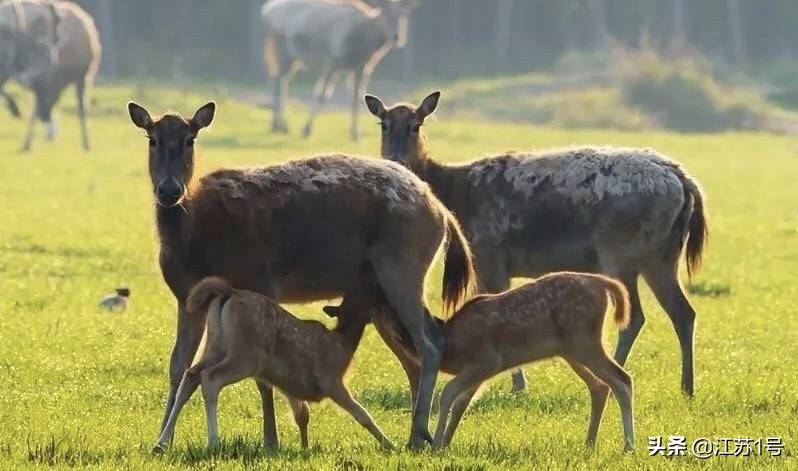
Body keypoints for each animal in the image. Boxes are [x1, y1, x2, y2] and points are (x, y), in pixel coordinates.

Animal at [155, 278, 394, 452]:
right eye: (367, 293)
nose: (382, 291)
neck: (343, 344)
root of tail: (228, 293)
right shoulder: (330, 380)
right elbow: (361, 414)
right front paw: (390, 445)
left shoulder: (290, 384)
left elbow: (303, 415)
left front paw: (305, 448)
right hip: (246, 356)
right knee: (210, 378)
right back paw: (213, 442)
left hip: (215, 345)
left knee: (191, 374)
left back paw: (161, 443)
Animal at [260, 0, 416, 140]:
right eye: (385, 14)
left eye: (403, 15)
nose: (397, 36)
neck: (364, 46)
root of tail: (266, 11)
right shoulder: (332, 61)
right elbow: (322, 95)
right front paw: (306, 129)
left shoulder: (362, 67)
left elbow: (357, 96)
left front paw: (355, 133)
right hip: (282, 50)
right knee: (278, 81)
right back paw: (282, 126)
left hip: (289, 57)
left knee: (278, 80)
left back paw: (276, 126)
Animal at [324, 272, 636, 454]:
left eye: (369, 291)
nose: (333, 309)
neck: (450, 344)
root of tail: (605, 284)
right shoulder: (478, 371)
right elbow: (462, 401)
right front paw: (445, 443)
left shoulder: (486, 360)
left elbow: (447, 393)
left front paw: (436, 445)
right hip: (570, 348)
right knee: (599, 386)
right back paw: (589, 443)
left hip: (584, 340)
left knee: (622, 379)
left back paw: (628, 446)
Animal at [366, 90, 708, 396]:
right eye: (384, 124)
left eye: (416, 124)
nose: (396, 159)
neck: (457, 194)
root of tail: (684, 180)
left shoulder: (489, 252)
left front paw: (517, 385)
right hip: (663, 254)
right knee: (683, 312)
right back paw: (687, 387)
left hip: (619, 249)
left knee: (635, 316)